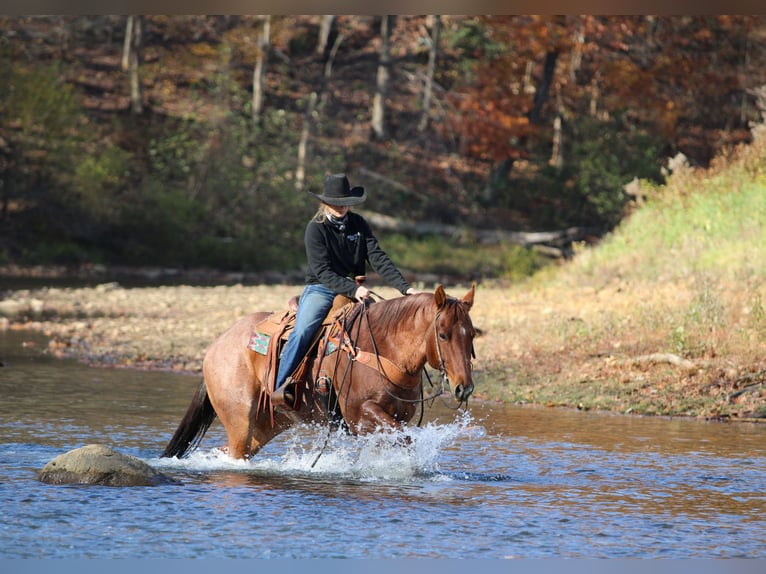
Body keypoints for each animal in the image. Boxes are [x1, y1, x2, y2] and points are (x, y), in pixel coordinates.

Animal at [161, 284, 476, 460]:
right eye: (443, 334)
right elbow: (404, 439)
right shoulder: (360, 415)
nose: (464, 387)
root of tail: (216, 346)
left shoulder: (396, 417)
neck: (383, 349)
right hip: (239, 417)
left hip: (268, 423)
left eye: (472, 334)